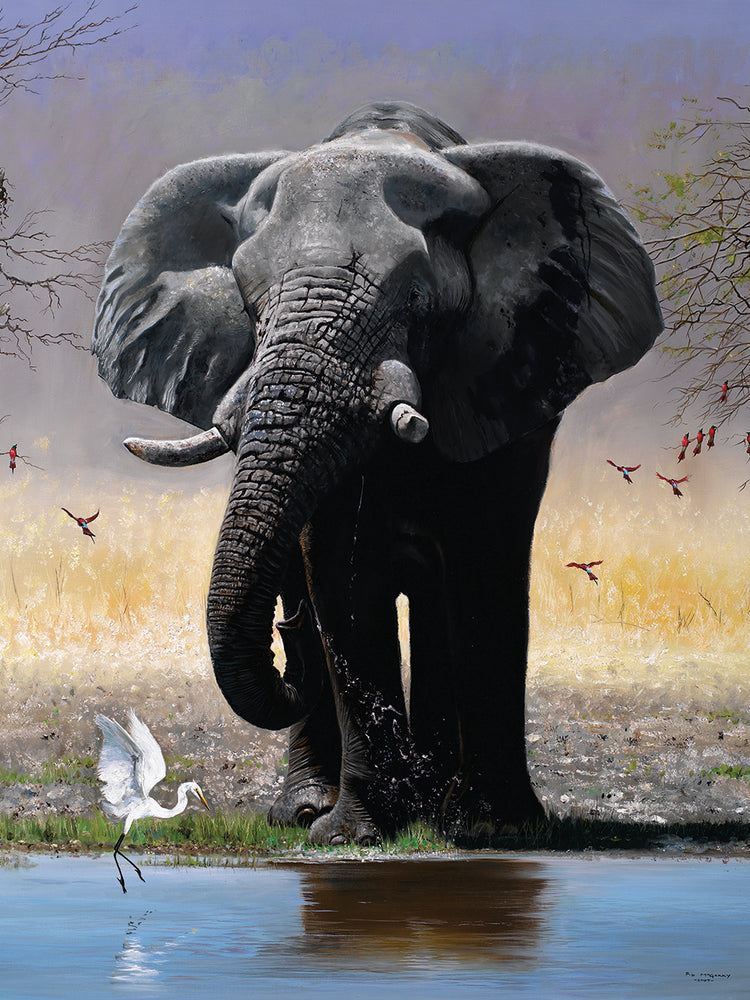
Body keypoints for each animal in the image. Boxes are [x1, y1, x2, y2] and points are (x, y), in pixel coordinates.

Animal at [92, 101, 662, 844]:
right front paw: (353, 834)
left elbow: (483, 563)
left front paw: (491, 831)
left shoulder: (508, 372)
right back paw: (310, 809)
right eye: (247, 300)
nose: (285, 649)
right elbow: (342, 571)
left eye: (417, 297)